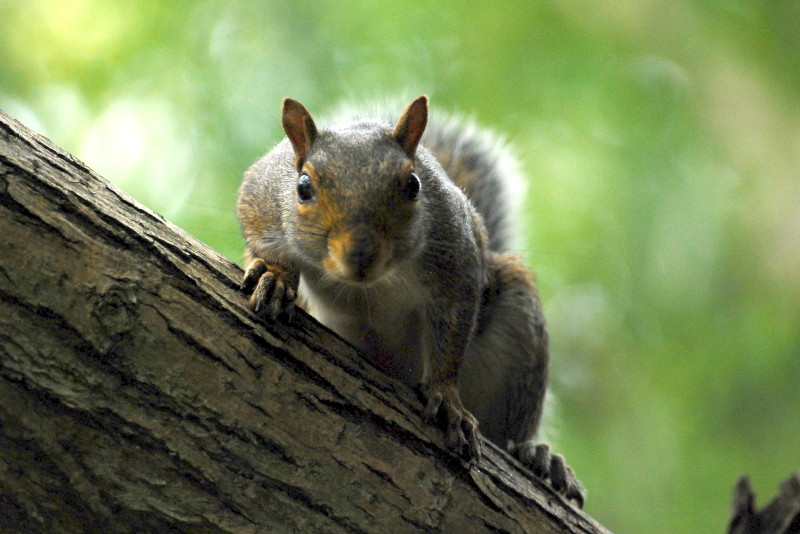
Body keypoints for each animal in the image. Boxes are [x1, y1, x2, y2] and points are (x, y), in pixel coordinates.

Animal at [236, 95, 580, 506]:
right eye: (302, 187)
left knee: (511, 430)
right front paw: (275, 277)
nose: (361, 255)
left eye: (413, 185)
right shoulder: (262, 194)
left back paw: (539, 457)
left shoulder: (457, 259)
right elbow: (262, 238)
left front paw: (446, 398)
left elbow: (452, 333)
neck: (367, 286)